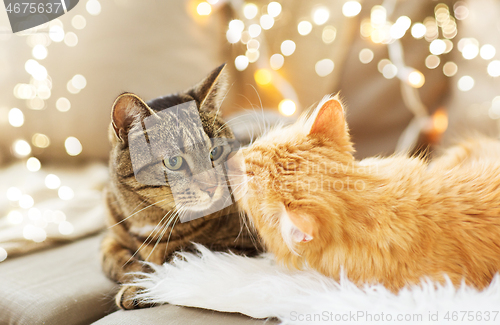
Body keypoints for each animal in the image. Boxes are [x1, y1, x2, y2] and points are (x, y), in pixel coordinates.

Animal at [99, 64, 260, 308]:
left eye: (215, 152)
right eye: (173, 162)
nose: (212, 188)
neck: (148, 218)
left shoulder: (241, 243)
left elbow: (181, 260)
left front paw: (144, 288)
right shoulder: (110, 237)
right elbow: (113, 259)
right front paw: (138, 276)